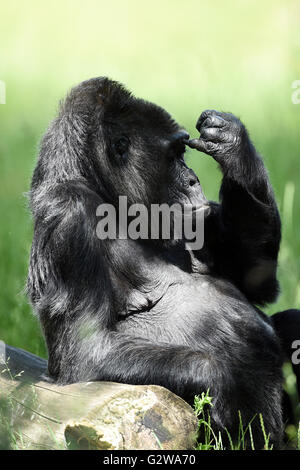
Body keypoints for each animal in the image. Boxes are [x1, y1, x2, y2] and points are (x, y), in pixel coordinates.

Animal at [27, 77, 298, 448]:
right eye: (173, 156)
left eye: (184, 153)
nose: (194, 180)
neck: (107, 197)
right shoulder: (68, 218)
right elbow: (86, 354)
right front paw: (221, 377)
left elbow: (258, 282)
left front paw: (232, 143)